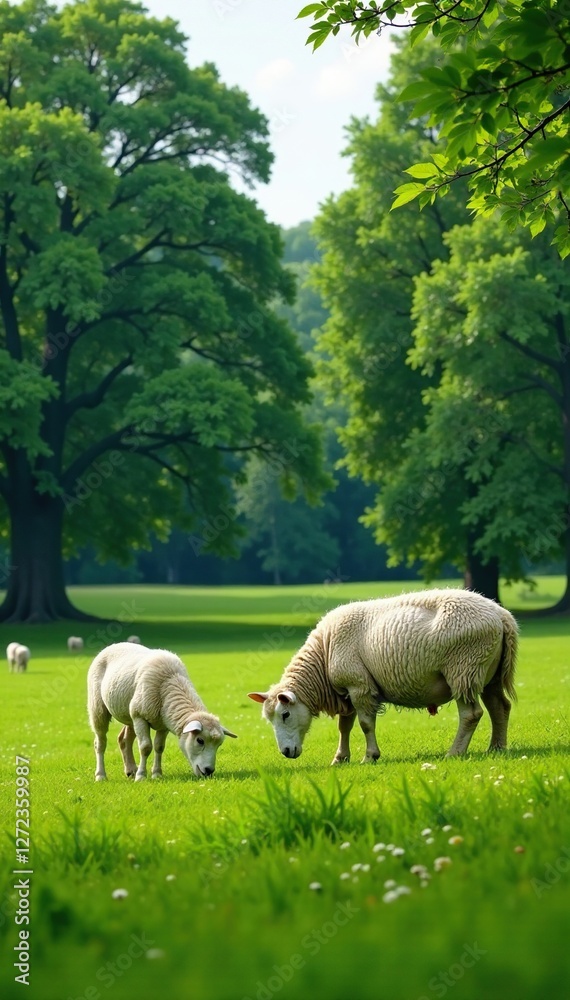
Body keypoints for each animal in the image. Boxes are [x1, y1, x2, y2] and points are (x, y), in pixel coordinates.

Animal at [87, 642, 237, 782]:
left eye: (219, 744)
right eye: (200, 740)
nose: (209, 771)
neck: (170, 681)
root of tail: (114, 645)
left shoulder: (163, 723)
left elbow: (159, 747)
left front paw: (157, 774)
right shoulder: (140, 717)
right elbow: (146, 747)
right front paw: (141, 776)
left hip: (129, 714)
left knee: (124, 739)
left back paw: (131, 770)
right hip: (99, 709)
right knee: (100, 742)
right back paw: (101, 776)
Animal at [248, 588, 517, 764]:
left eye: (285, 714)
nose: (285, 752)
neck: (323, 653)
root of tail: (501, 615)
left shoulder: (359, 685)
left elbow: (365, 724)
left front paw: (370, 756)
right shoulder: (347, 691)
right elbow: (344, 726)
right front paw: (340, 758)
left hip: (463, 670)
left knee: (471, 714)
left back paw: (455, 753)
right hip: (488, 675)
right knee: (499, 707)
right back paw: (496, 748)